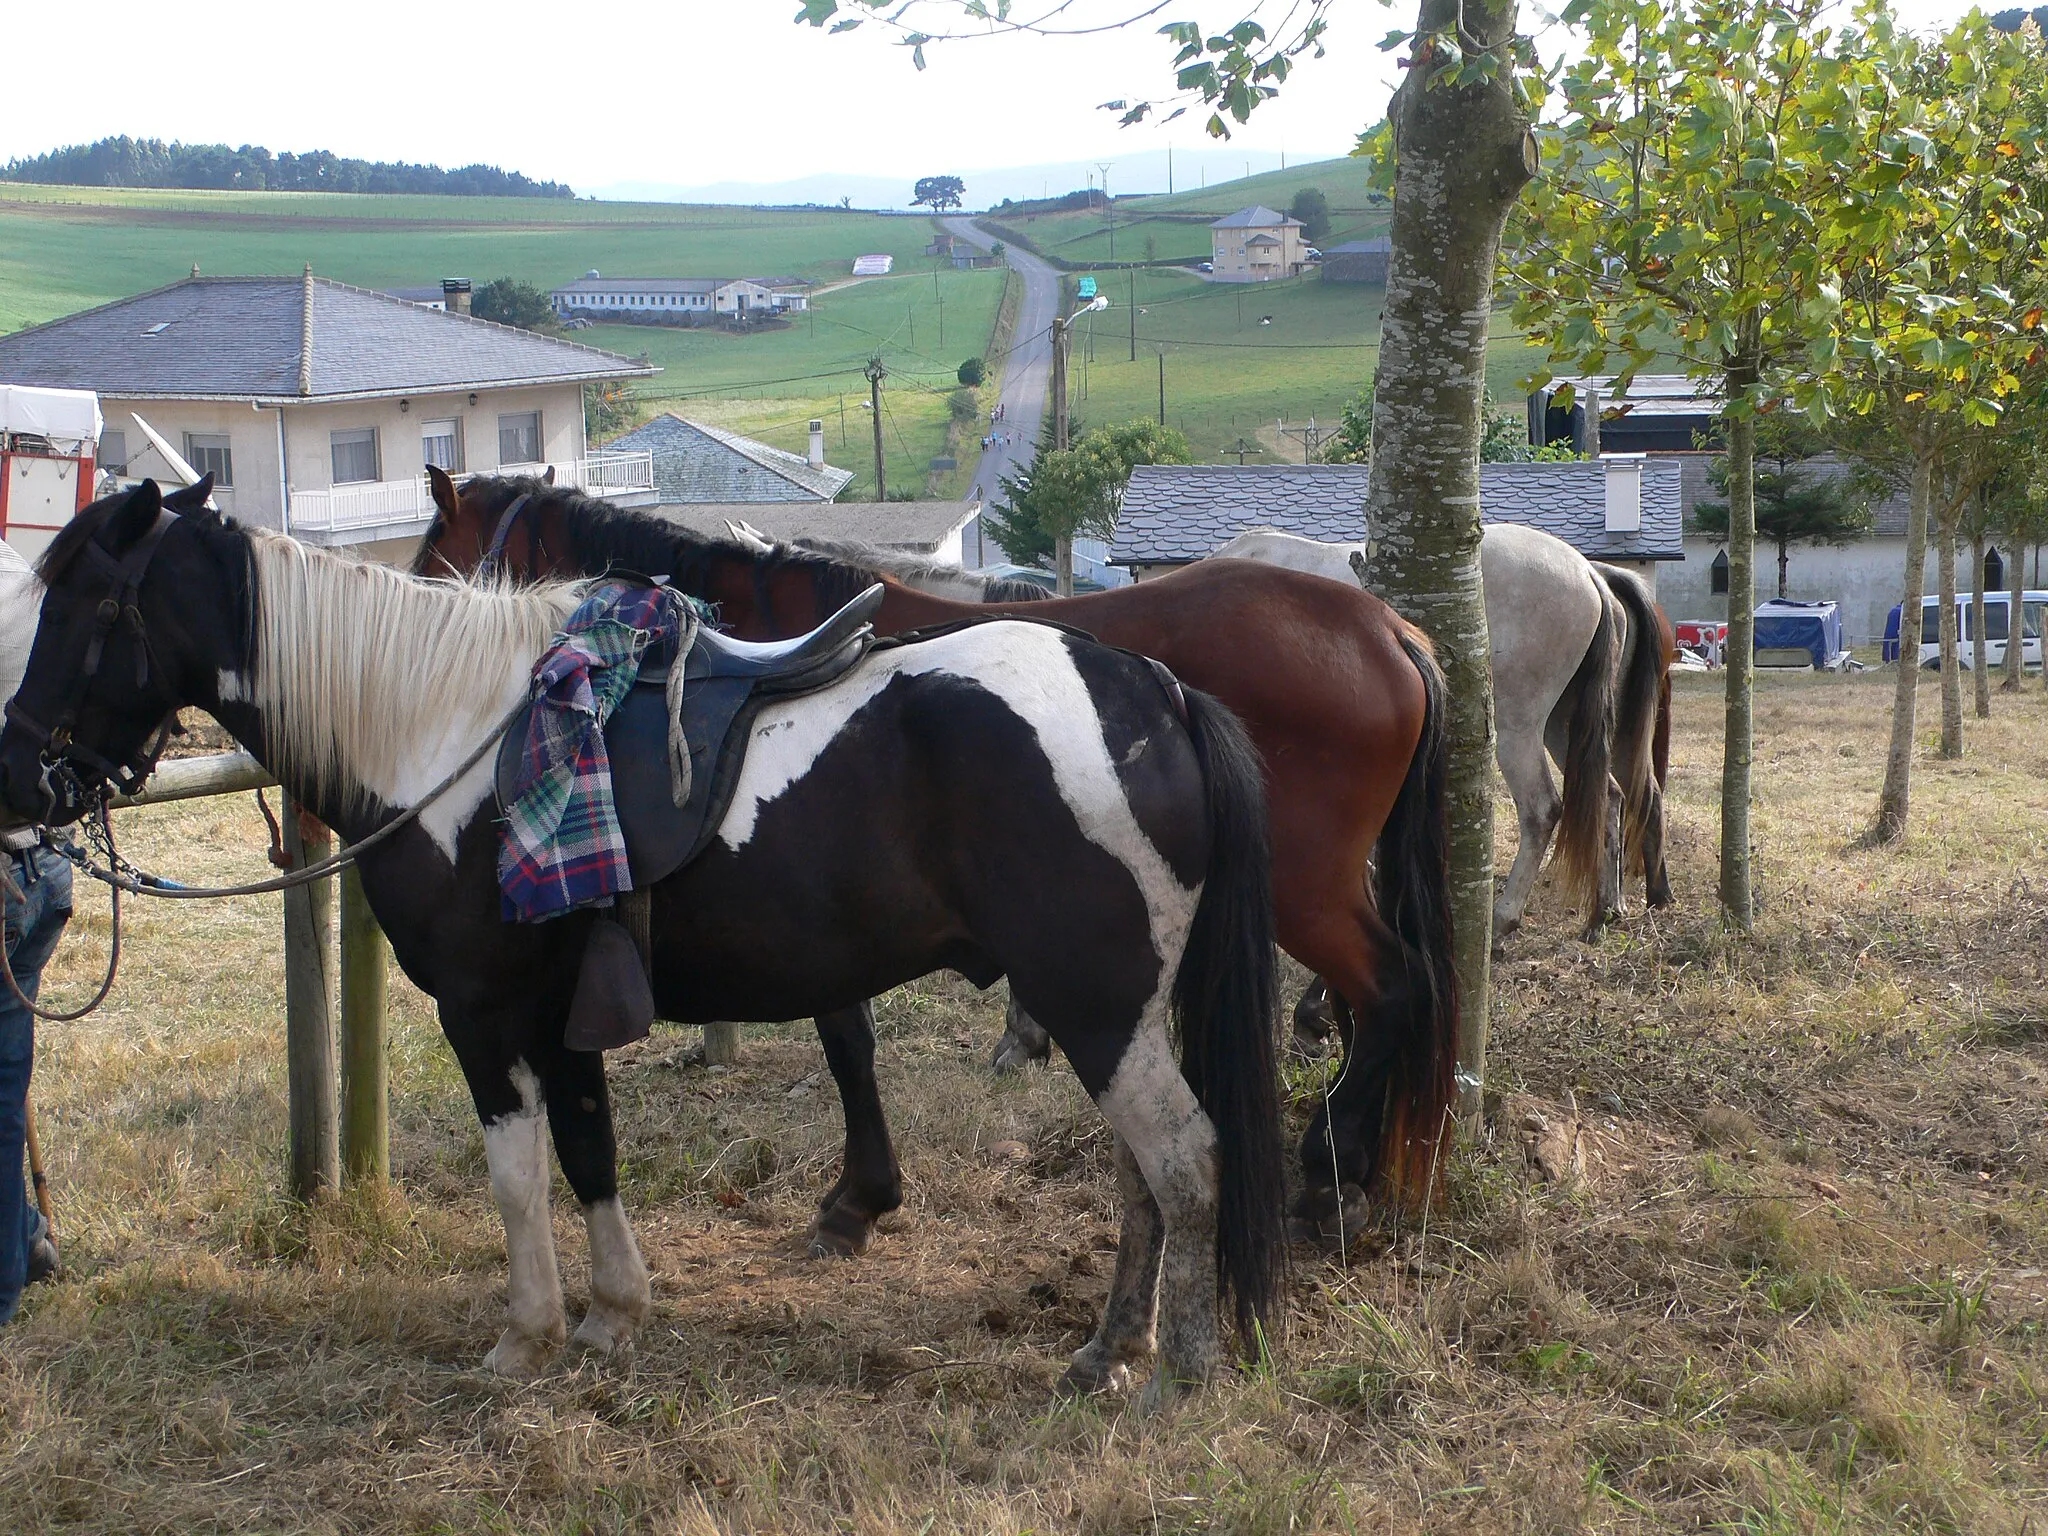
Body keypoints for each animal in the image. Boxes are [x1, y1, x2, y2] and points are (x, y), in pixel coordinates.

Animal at [0, 487, 1277, 1417]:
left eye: (82, 610)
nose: (23, 776)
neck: (450, 740)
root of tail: (1150, 693)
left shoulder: (483, 1012)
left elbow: (519, 1174)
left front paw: (527, 1334)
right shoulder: (561, 1010)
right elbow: (588, 1151)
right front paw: (614, 1314)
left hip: (1093, 1004)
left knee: (1183, 1162)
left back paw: (1177, 1372)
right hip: (1115, 1008)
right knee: (1141, 1175)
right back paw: (1108, 1349)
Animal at [415, 473, 1458, 1253]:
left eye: (432, 558)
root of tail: (1386, 631)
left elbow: (846, 1039)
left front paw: (857, 1199)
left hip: (1303, 890)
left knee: (1393, 987)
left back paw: (1330, 1173)